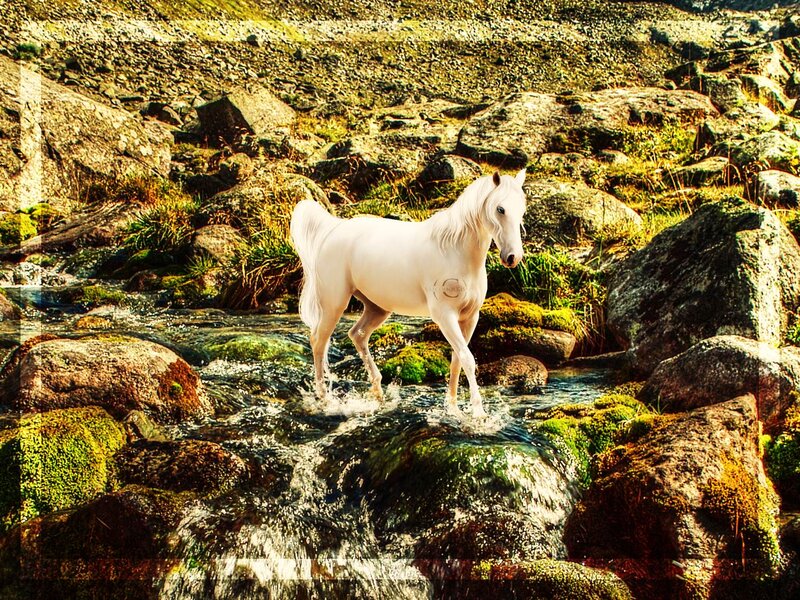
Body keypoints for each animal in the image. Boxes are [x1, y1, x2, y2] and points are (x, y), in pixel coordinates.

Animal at [290, 169, 527, 417]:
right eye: (500, 209)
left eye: (522, 209)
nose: (512, 257)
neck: (454, 250)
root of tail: (333, 230)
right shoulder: (445, 316)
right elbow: (467, 359)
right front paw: (478, 414)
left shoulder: (470, 317)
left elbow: (457, 360)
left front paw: (452, 408)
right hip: (334, 303)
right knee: (318, 341)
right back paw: (324, 399)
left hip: (377, 308)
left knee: (357, 334)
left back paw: (379, 396)